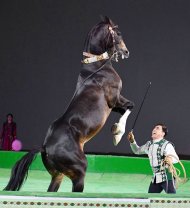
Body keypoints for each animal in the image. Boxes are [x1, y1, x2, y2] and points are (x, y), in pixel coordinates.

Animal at [2, 15, 134, 192]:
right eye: (118, 33)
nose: (126, 52)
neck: (97, 68)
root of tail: (45, 146)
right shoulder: (115, 99)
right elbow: (130, 106)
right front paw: (117, 134)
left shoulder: (115, 105)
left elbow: (127, 108)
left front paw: (116, 132)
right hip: (79, 171)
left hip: (57, 175)